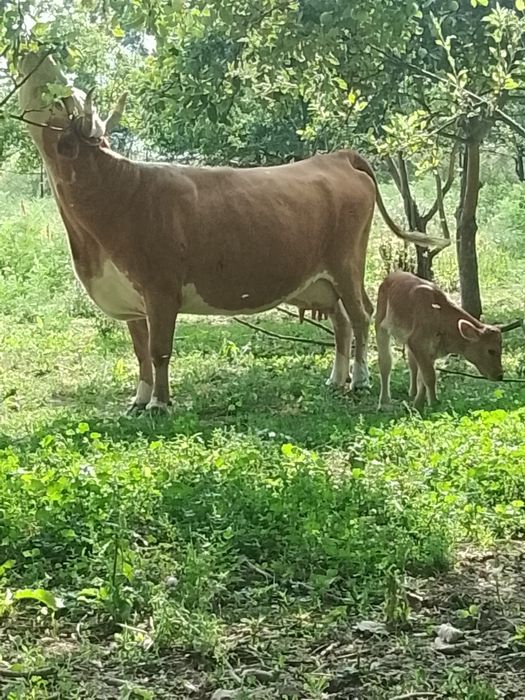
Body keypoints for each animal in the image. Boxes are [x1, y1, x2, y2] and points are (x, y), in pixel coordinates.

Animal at [18, 51, 446, 414]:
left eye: (62, 99)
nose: (36, 53)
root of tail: (337, 156)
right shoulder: (131, 298)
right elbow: (140, 352)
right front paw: (139, 400)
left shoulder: (161, 290)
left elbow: (159, 350)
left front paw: (160, 404)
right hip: (321, 278)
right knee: (341, 320)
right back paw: (336, 378)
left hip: (347, 264)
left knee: (360, 315)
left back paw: (358, 379)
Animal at [375, 271, 503, 411]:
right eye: (491, 351)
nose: (500, 375)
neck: (439, 317)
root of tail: (392, 276)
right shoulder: (417, 342)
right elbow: (429, 376)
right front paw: (432, 403)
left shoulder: (429, 349)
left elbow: (423, 377)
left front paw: (418, 403)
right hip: (380, 324)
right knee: (385, 363)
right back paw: (384, 402)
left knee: (412, 364)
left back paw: (412, 393)